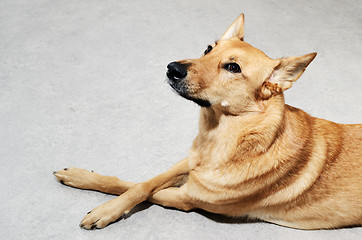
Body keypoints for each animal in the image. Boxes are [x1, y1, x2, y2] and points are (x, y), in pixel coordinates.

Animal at [53, 13, 362, 231]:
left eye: (233, 67)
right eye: (208, 49)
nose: (171, 68)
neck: (225, 136)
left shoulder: (188, 198)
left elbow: (137, 188)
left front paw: (103, 210)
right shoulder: (188, 162)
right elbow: (140, 184)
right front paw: (83, 178)